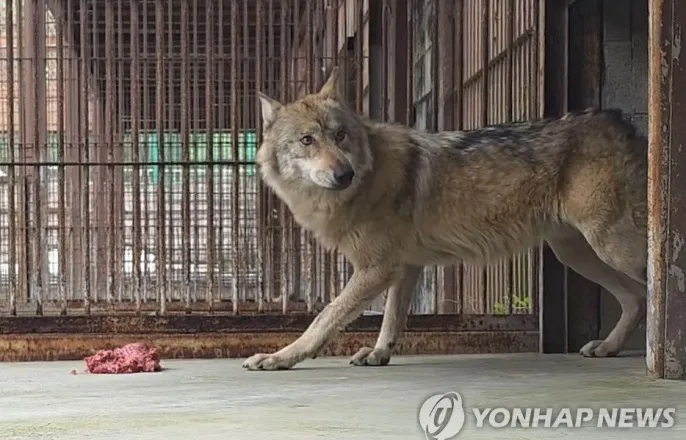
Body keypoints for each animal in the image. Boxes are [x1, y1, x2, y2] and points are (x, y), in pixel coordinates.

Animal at [242, 66, 648, 371]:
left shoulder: (377, 269)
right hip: (577, 254)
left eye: (340, 135)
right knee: (637, 298)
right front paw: (379, 353)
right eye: (307, 140)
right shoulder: (404, 268)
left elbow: (324, 316)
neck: (368, 177)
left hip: (611, 247)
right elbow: (391, 318)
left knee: (652, 285)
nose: (344, 174)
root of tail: (619, 122)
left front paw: (281, 357)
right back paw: (609, 347)